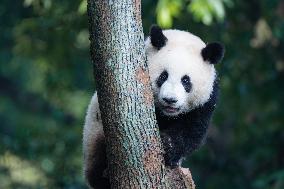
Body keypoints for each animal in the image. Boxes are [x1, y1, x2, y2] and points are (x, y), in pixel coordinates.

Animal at [83, 25, 225, 189]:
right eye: (163, 76)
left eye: (186, 81)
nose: (170, 100)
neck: (167, 115)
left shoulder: (206, 101)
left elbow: (192, 131)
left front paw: (169, 147)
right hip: (94, 133)